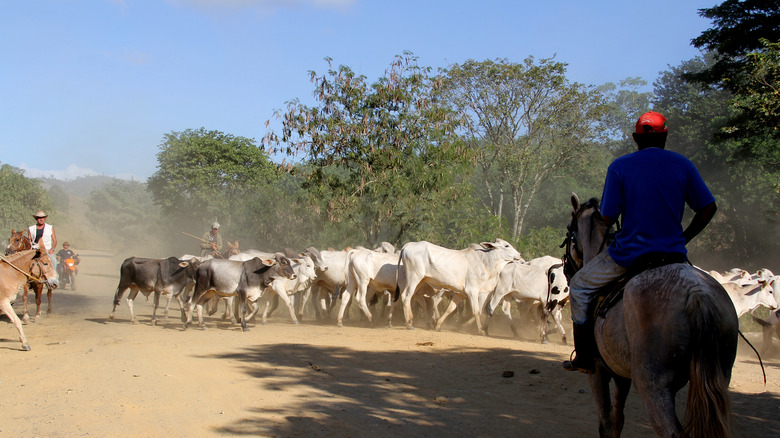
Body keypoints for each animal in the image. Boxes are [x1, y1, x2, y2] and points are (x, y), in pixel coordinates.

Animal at [396, 238, 524, 334]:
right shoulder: (473, 290)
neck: (486, 262)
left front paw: (438, 325)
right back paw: (409, 323)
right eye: (506, 245)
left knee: (409, 296)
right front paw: (480, 330)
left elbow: (451, 309)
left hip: (421, 281)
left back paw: (412, 321)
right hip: (414, 277)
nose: (519, 254)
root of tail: (408, 245)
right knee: (407, 296)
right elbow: (476, 311)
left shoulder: (460, 293)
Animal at [564, 195, 740, 438]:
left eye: (569, 233)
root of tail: (697, 292)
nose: (566, 269)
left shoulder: (597, 371)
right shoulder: (621, 374)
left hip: (653, 385)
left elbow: (606, 423)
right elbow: (617, 421)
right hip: (720, 374)